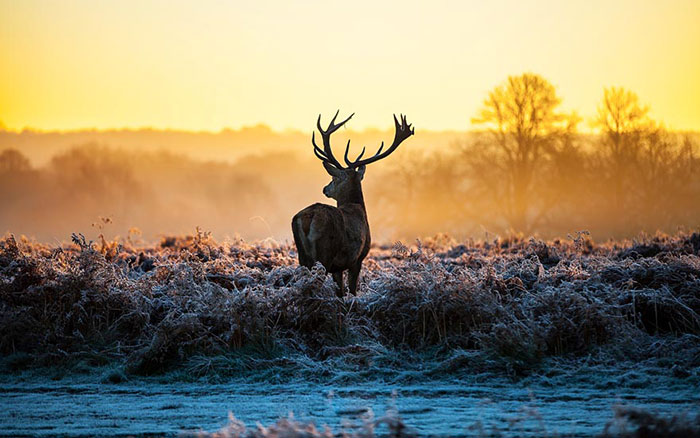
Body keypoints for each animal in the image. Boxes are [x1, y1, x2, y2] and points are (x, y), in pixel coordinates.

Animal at [292, 111, 412, 298]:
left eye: (333, 178)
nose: (325, 188)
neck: (358, 208)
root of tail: (308, 218)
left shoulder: (338, 267)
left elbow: (340, 291)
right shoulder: (357, 259)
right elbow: (352, 290)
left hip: (302, 257)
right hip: (324, 254)